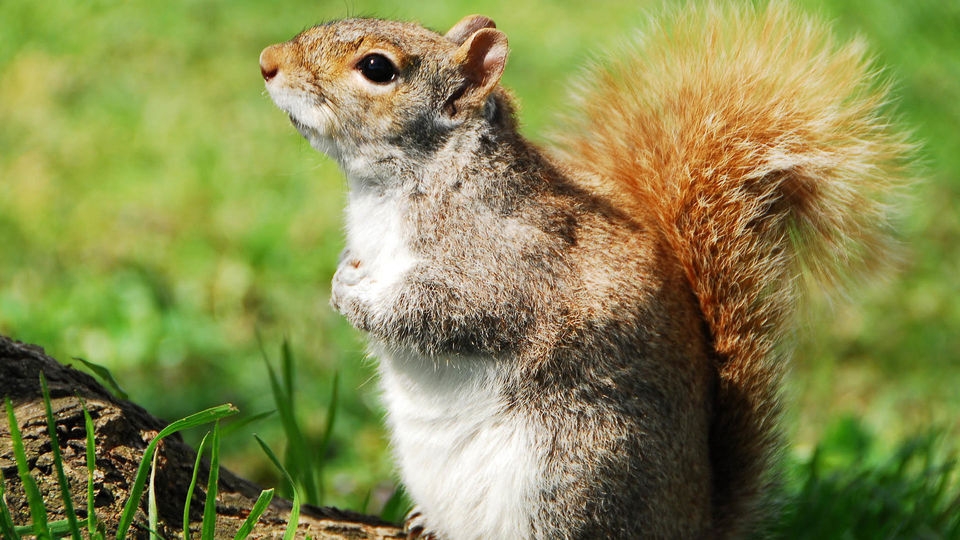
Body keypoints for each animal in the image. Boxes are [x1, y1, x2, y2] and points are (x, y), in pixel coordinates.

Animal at [256, 2, 908, 536]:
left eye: (377, 68)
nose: (267, 62)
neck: (400, 185)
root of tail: (692, 523)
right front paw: (342, 275)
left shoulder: (510, 261)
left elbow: (449, 313)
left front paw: (355, 296)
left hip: (571, 471)